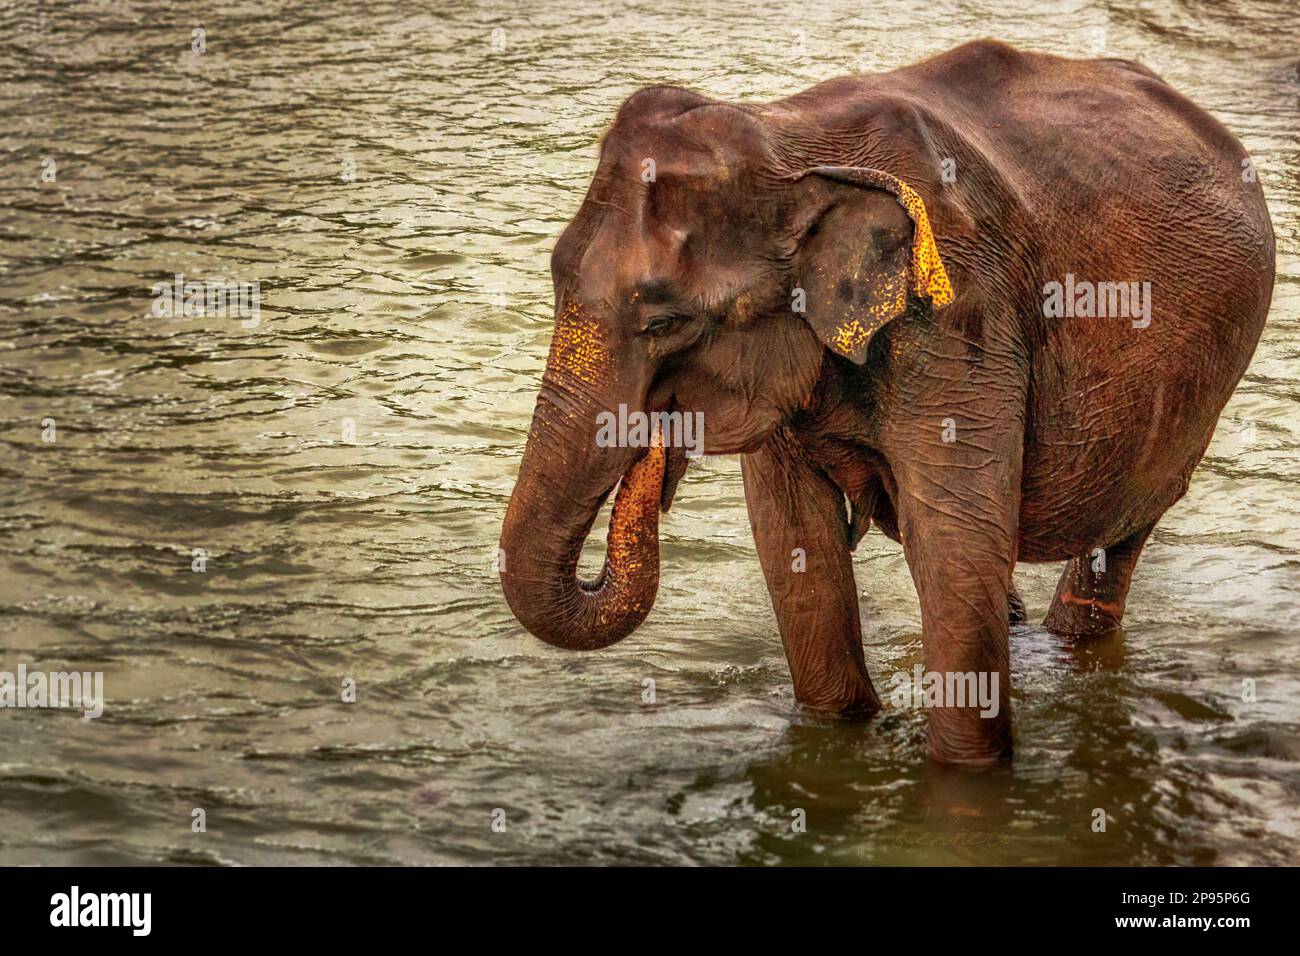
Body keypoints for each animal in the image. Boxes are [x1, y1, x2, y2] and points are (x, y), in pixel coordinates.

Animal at [496, 41, 1279, 764]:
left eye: (665, 322)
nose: (658, 450)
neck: (788, 144)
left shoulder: (960, 314)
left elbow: (954, 545)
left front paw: (967, 776)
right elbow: (794, 541)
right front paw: (834, 740)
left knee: (1121, 531)